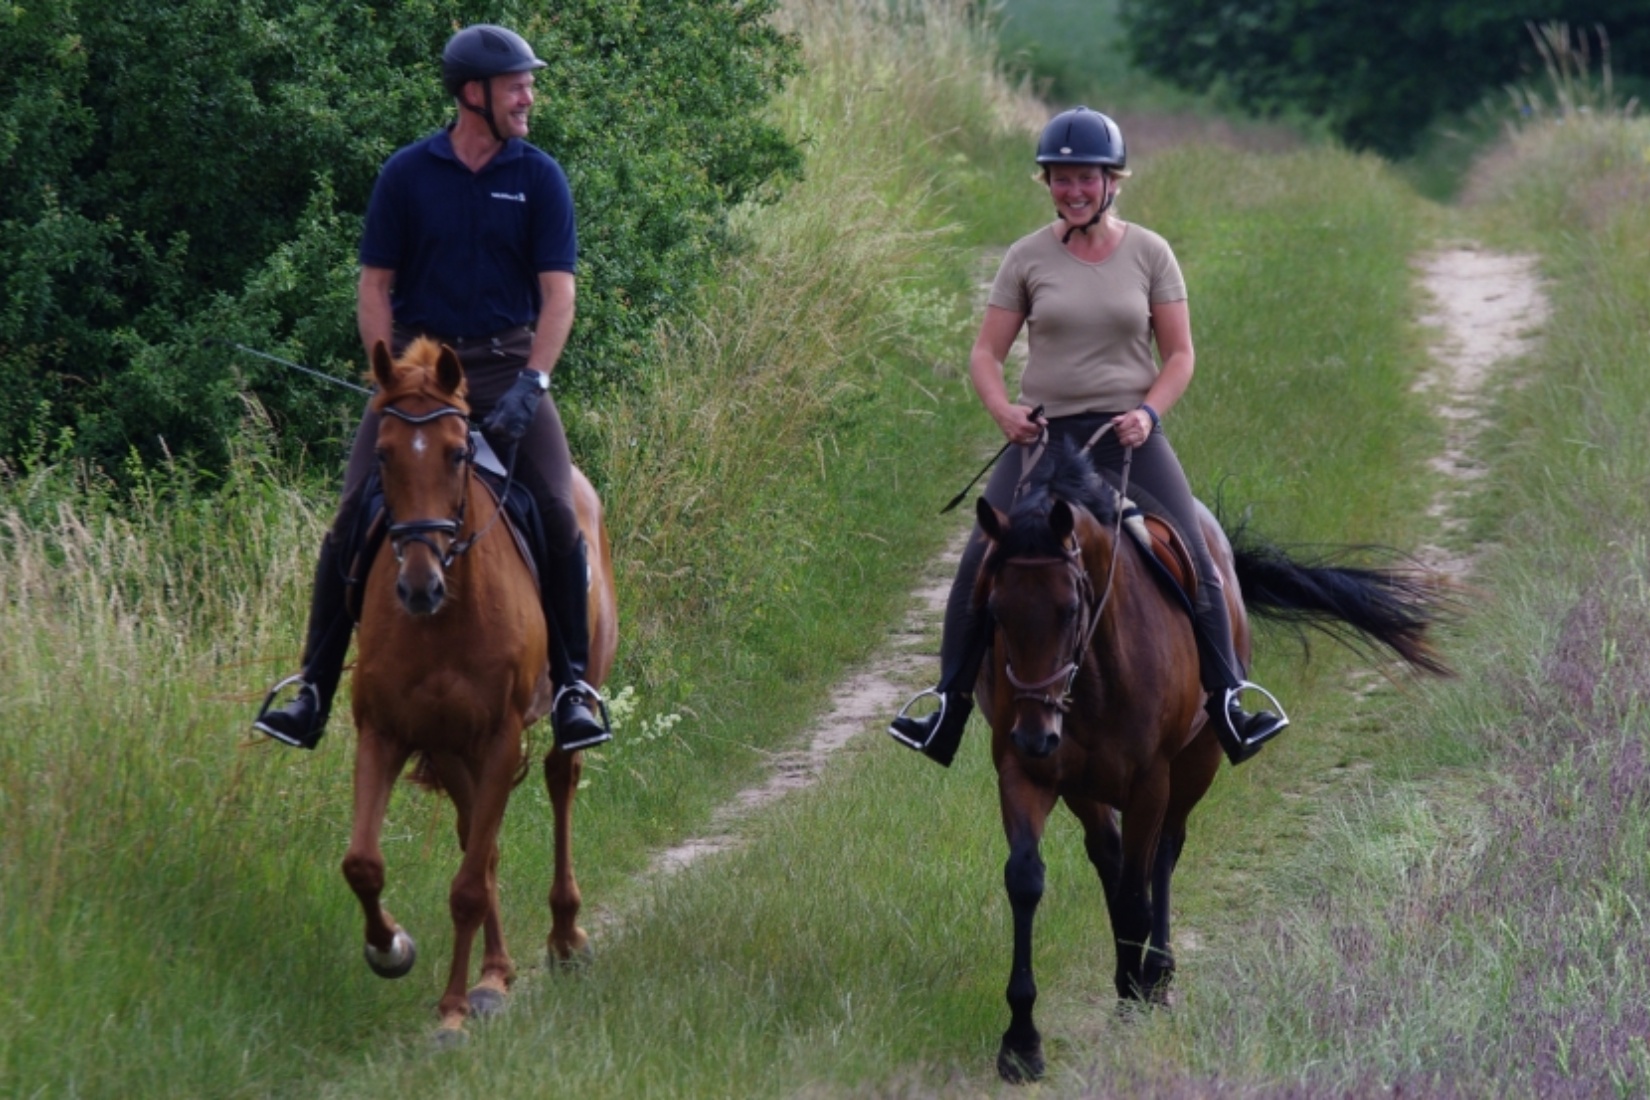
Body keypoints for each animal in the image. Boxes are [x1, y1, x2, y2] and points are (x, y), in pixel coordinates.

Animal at [343, 338, 620, 1042]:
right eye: (383, 454)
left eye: (456, 453)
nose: (419, 586)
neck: (447, 618)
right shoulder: (394, 732)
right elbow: (366, 863)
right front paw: (392, 949)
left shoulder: (498, 738)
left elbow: (467, 886)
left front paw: (450, 1012)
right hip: (453, 748)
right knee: (480, 839)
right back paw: (495, 972)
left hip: (566, 702)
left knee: (561, 778)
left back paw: (565, 937)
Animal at [970, 441, 1452, 1081]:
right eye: (995, 610)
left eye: (1070, 608)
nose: (1035, 734)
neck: (1094, 671)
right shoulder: (1029, 775)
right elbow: (1027, 880)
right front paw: (1022, 1042)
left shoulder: (1150, 778)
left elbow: (1137, 890)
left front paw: (1137, 998)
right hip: (1085, 784)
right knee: (1110, 855)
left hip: (1194, 762)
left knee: (1163, 854)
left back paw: (1156, 971)